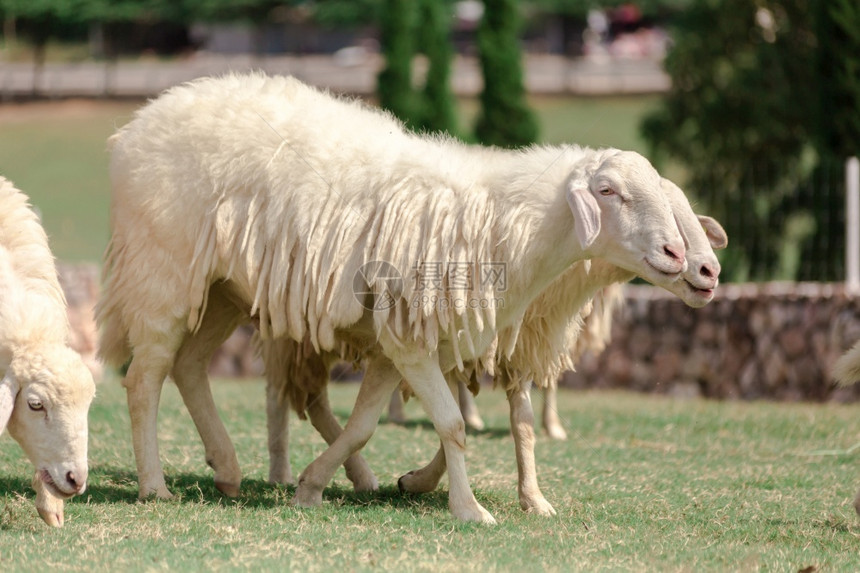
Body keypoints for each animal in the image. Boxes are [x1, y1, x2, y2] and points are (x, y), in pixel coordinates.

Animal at [99, 72, 692, 524]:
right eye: (608, 191)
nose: (680, 257)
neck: (498, 223)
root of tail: (139, 123)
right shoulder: (410, 339)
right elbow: (452, 424)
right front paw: (469, 510)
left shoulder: (399, 343)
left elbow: (363, 425)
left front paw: (313, 486)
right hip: (162, 273)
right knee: (145, 379)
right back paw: (155, 485)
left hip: (223, 289)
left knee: (190, 365)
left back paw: (225, 469)